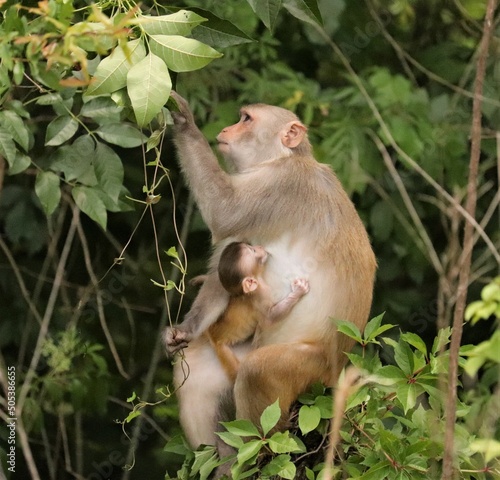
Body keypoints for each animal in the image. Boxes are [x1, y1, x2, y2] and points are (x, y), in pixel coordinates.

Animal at [166, 90, 376, 450]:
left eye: (246, 119)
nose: (226, 129)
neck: (281, 159)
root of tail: (339, 372)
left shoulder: (279, 186)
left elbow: (224, 211)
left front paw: (184, 122)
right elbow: (226, 275)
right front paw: (187, 329)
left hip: (311, 370)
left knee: (257, 371)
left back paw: (258, 447)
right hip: (243, 345)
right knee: (197, 370)